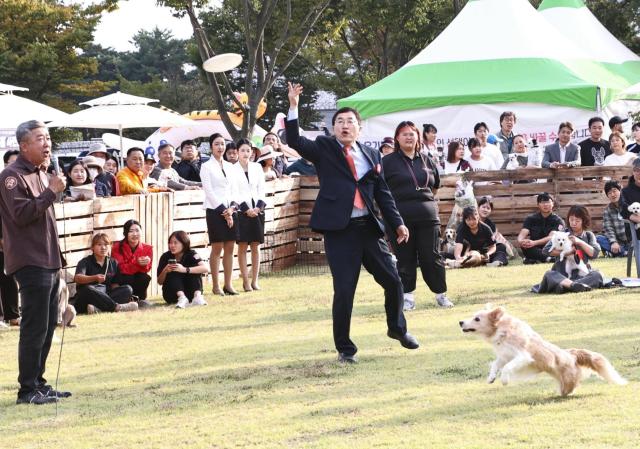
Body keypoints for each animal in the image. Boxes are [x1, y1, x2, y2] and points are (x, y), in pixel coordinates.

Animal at [458, 304, 628, 396]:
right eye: (472, 316)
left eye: (477, 319)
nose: (460, 322)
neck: (502, 330)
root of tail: (572, 355)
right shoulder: (505, 355)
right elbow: (495, 364)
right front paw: (491, 378)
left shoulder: (522, 356)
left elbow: (507, 368)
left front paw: (504, 380)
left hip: (567, 381)